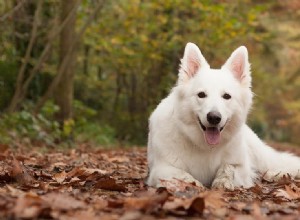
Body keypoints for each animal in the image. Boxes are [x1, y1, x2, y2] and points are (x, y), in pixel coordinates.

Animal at [147, 42, 300, 189]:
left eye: (226, 96)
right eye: (201, 94)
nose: (214, 117)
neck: (205, 147)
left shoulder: (242, 167)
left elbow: (228, 167)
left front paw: (223, 181)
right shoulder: (161, 169)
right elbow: (182, 175)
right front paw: (194, 184)